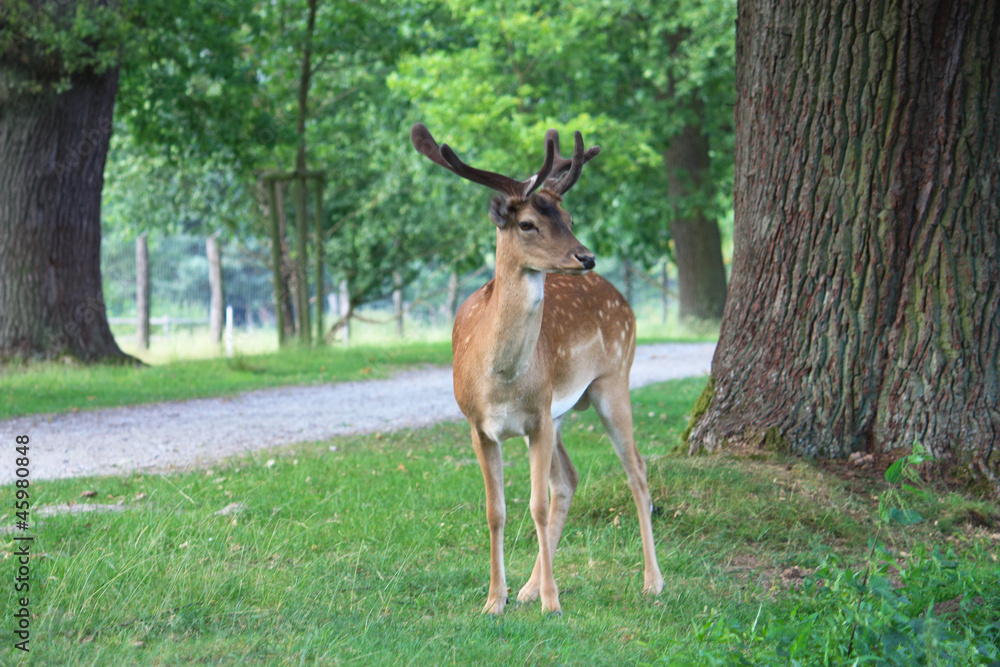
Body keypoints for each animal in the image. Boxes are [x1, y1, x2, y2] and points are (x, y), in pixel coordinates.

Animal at [411, 123, 664, 615]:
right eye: (528, 223)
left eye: (569, 218)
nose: (586, 257)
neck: (501, 381)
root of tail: (621, 297)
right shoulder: (479, 425)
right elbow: (496, 510)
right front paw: (496, 599)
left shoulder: (539, 418)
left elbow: (537, 505)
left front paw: (552, 602)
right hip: (565, 410)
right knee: (569, 480)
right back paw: (527, 588)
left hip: (612, 379)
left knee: (637, 472)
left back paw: (652, 582)